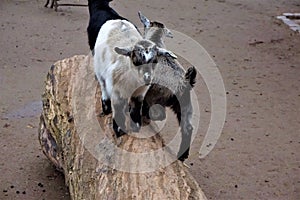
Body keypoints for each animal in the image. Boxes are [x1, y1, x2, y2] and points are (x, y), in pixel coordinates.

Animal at [139, 12, 197, 161]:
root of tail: (184, 81)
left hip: (156, 98)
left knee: (159, 115)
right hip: (184, 105)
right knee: (188, 128)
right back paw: (182, 156)